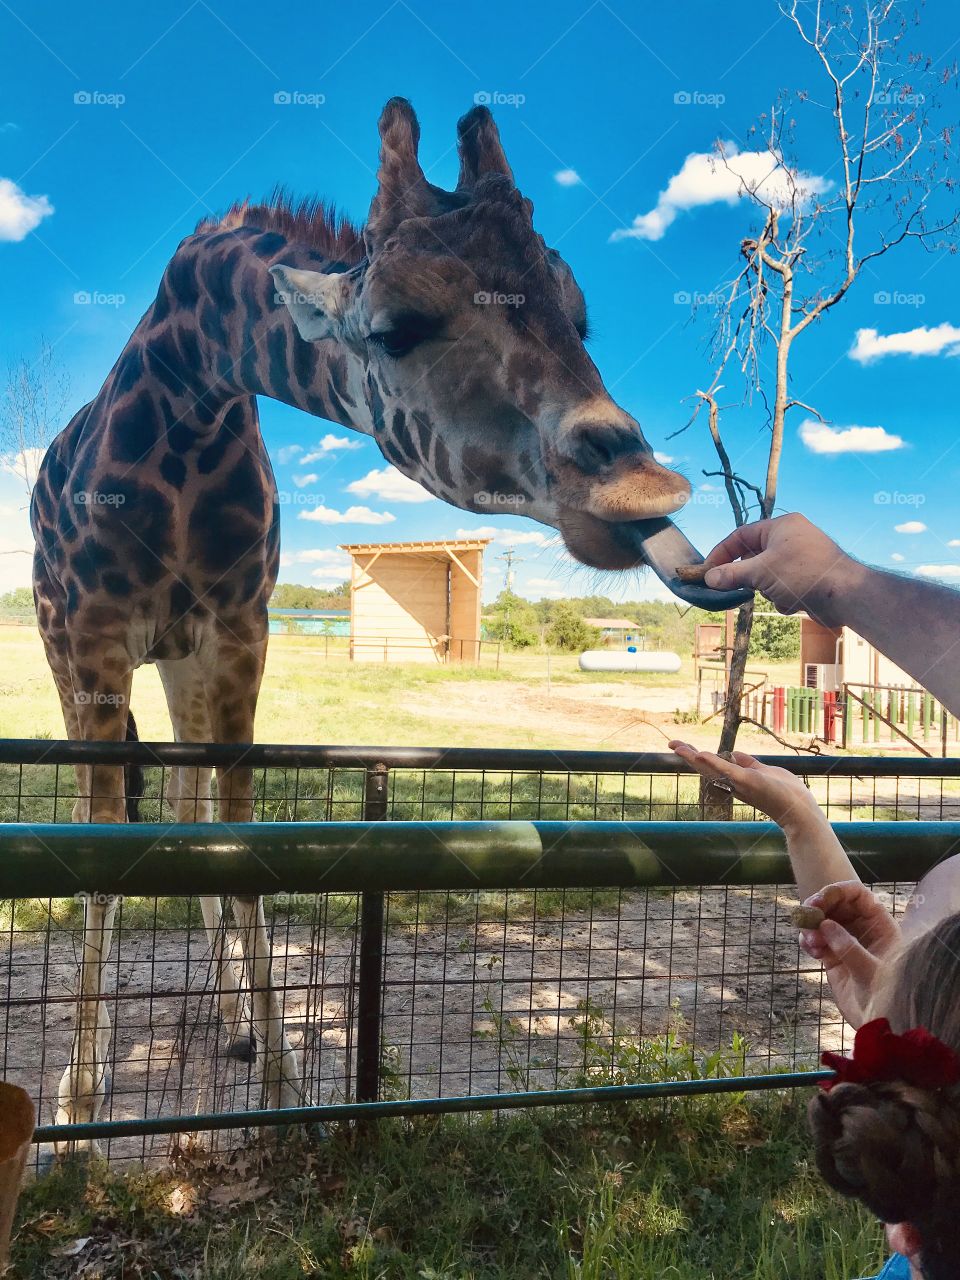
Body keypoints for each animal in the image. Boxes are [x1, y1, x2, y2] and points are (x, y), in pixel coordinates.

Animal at [31, 98, 743, 1146]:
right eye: (395, 328)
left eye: (579, 316)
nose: (643, 487)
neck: (187, 403)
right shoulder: (93, 637)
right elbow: (98, 849)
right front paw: (75, 1115)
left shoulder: (239, 634)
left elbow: (236, 836)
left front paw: (281, 1088)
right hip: (68, 643)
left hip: (180, 660)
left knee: (188, 807)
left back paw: (229, 1021)